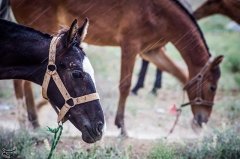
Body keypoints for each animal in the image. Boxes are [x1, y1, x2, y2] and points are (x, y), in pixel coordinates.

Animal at [9, 0, 223, 135]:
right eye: (212, 87)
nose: (203, 120)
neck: (157, 11)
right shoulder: (130, 45)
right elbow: (125, 86)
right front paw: (122, 127)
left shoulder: (151, 51)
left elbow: (179, 73)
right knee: (22, 80)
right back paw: (28, 120)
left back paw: (30, 119)